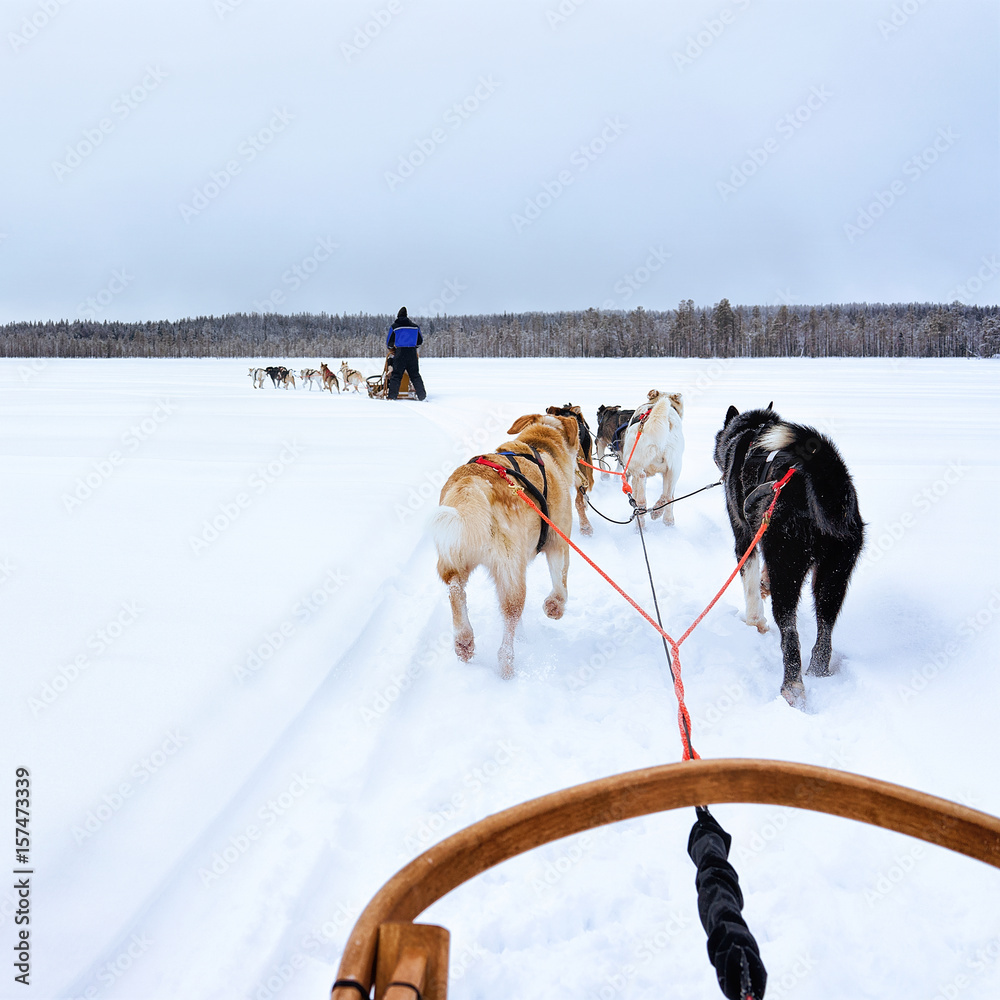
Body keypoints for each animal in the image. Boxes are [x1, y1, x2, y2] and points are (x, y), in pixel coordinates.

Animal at [430, 410, 580, 676]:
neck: (541, 445)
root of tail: (473, 484)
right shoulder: (558, 541)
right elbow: (560, 582)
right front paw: (554, 607)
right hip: (511, 573)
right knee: (510, 616)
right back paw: (506, 663)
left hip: (455, 557)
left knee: (455, 589)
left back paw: (464, 640)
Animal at [616, 390, 688, 528]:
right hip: (674, 469)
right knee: (668, 497)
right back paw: (666, 518)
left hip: (635, 463)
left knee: (641, 490)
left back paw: (641, 517)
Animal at [712, 402, 868, 708]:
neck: (749, 431)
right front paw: (764, 584)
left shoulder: (744, 539)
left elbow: (750, 587)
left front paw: (754, 621)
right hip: (833, 578)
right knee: (824, 633)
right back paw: (818, 671)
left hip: (788, 571)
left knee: (790, 636)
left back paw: (792, 688)